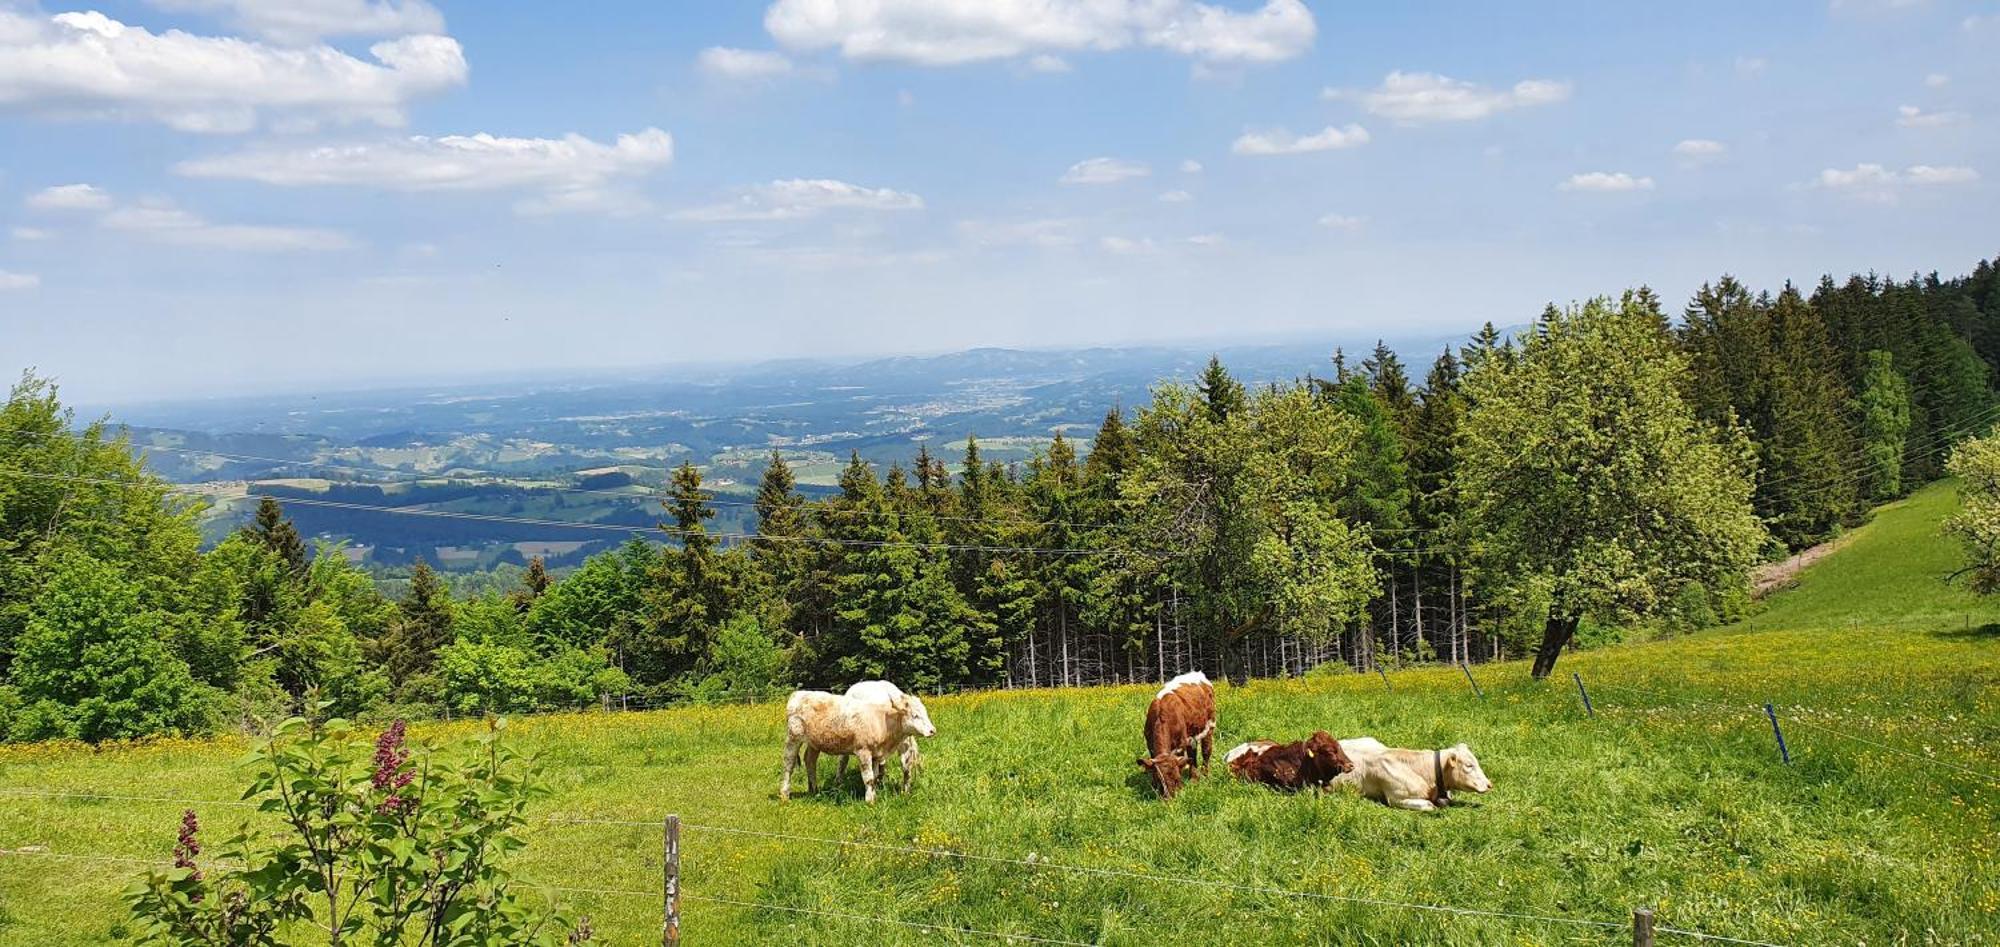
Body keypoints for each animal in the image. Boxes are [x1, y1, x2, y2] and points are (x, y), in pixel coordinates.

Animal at [780, 683, 936, 803]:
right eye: (915, 715)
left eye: (925, 713)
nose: (932, 730)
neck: (881, 720)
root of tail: (799, 693)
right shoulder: (863, 751)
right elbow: (868, 778)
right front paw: (870, 801)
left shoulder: (876, 754)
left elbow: (874, 776)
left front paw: (874, 796)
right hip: (793, 738)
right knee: (789, 764)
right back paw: (784, 795)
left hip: (814, 743)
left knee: (810, 761)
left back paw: (814, 790)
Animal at [1144, 667, 1216, 799]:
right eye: (1158, 779)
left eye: (1176, 778)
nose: (1169, 798)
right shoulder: (1150, 746)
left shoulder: (1180, 745)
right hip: (1191, 736)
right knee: (1192, 755)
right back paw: (1194, 778)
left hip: (1210, 726)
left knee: (1206, 752)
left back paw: (1205, 775)